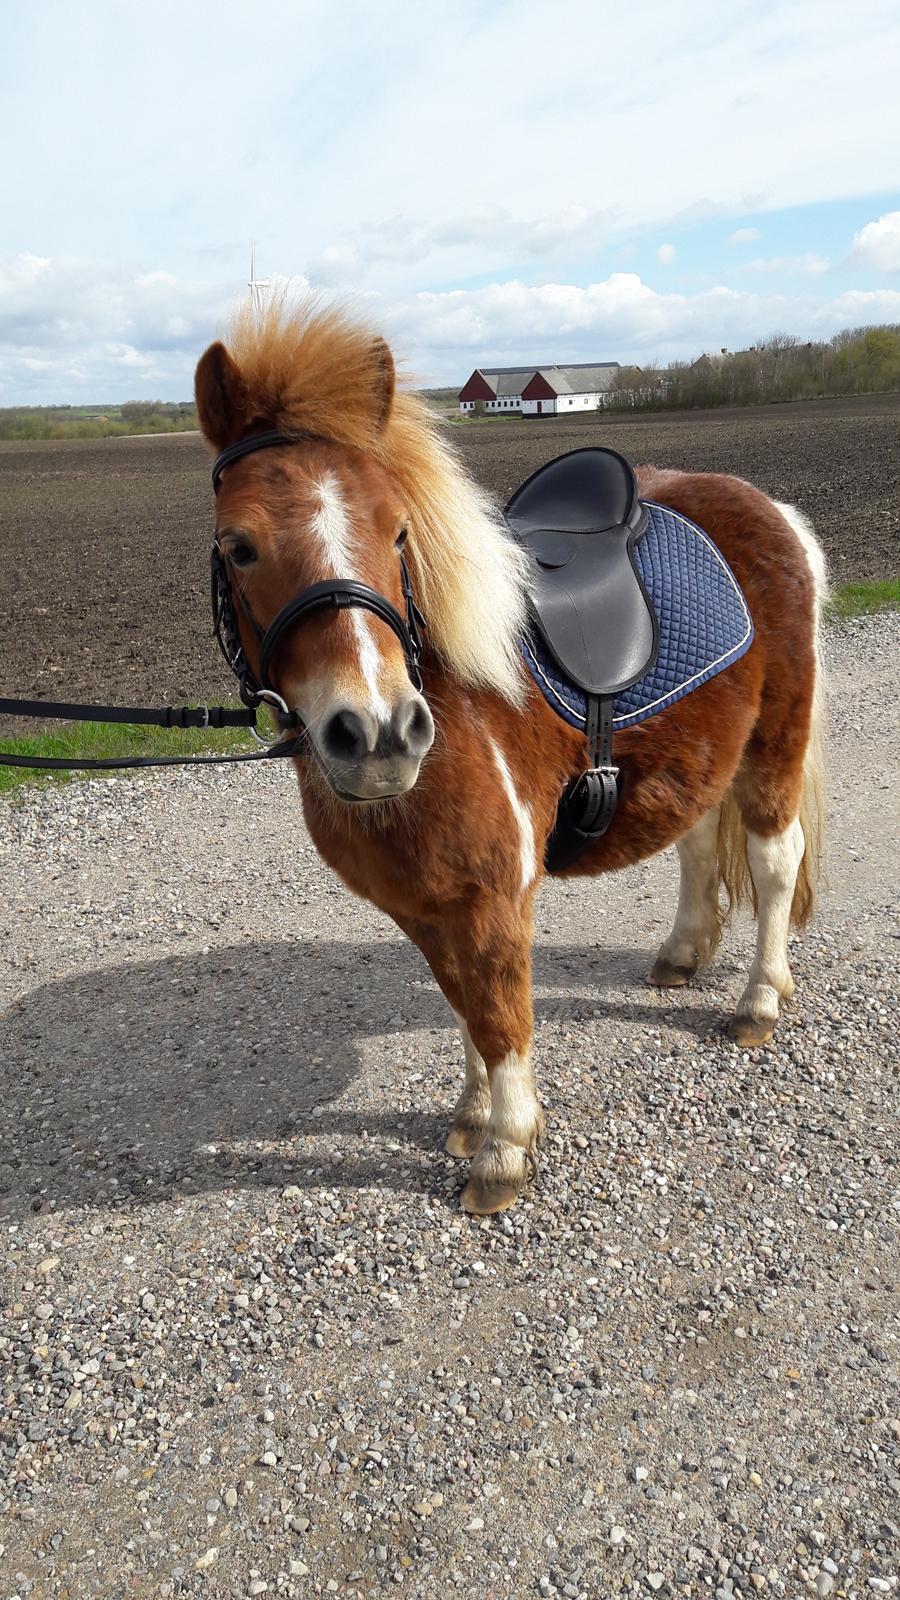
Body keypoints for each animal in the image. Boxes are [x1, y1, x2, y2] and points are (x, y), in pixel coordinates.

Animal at [194, 299, 826, 1217]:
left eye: (398, 530)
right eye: (239, 545)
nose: (379, 734)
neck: (449, 694)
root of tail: (767, 507)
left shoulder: (493, 896)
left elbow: (499, 1016)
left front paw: (505, 1147)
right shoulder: (425, 905)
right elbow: (461, 1005)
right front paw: (470, 1116)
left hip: (775, 743)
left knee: (776, 866)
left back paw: (758, 1003)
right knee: (701, 844)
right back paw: (682, 956)